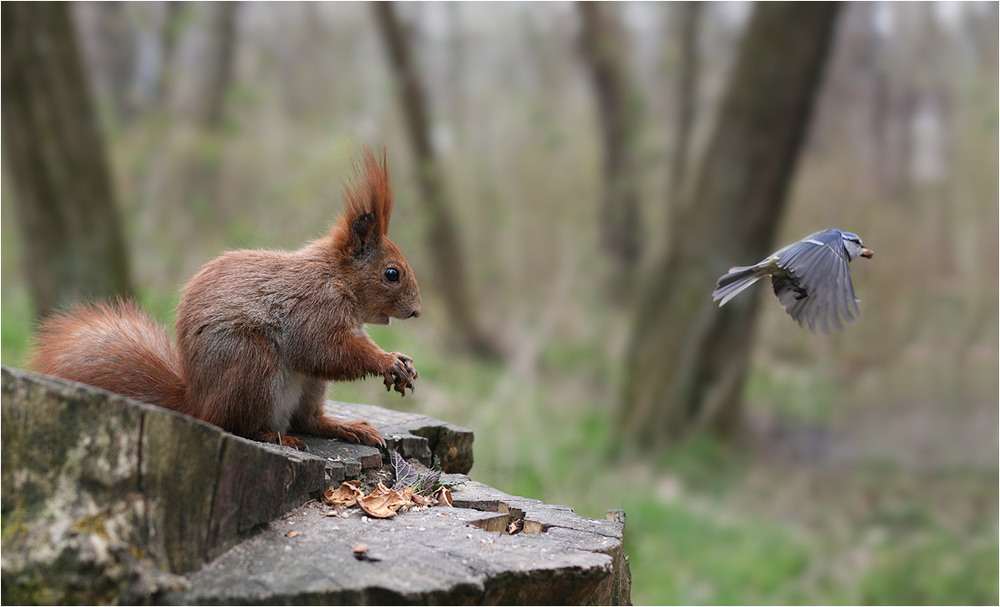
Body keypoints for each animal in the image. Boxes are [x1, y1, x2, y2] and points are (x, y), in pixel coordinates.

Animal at [31, 149, 420, 448]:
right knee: (239, 425)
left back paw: (346, 427)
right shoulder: (312, 309)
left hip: (307, 385)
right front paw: (387, 362)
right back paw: (272, 435)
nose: (417, 312)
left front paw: (400, 359)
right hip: (251, 363)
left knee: (306, 420)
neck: (337, 279)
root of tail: (197, 405)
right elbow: (324, 350)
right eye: (392, 274)